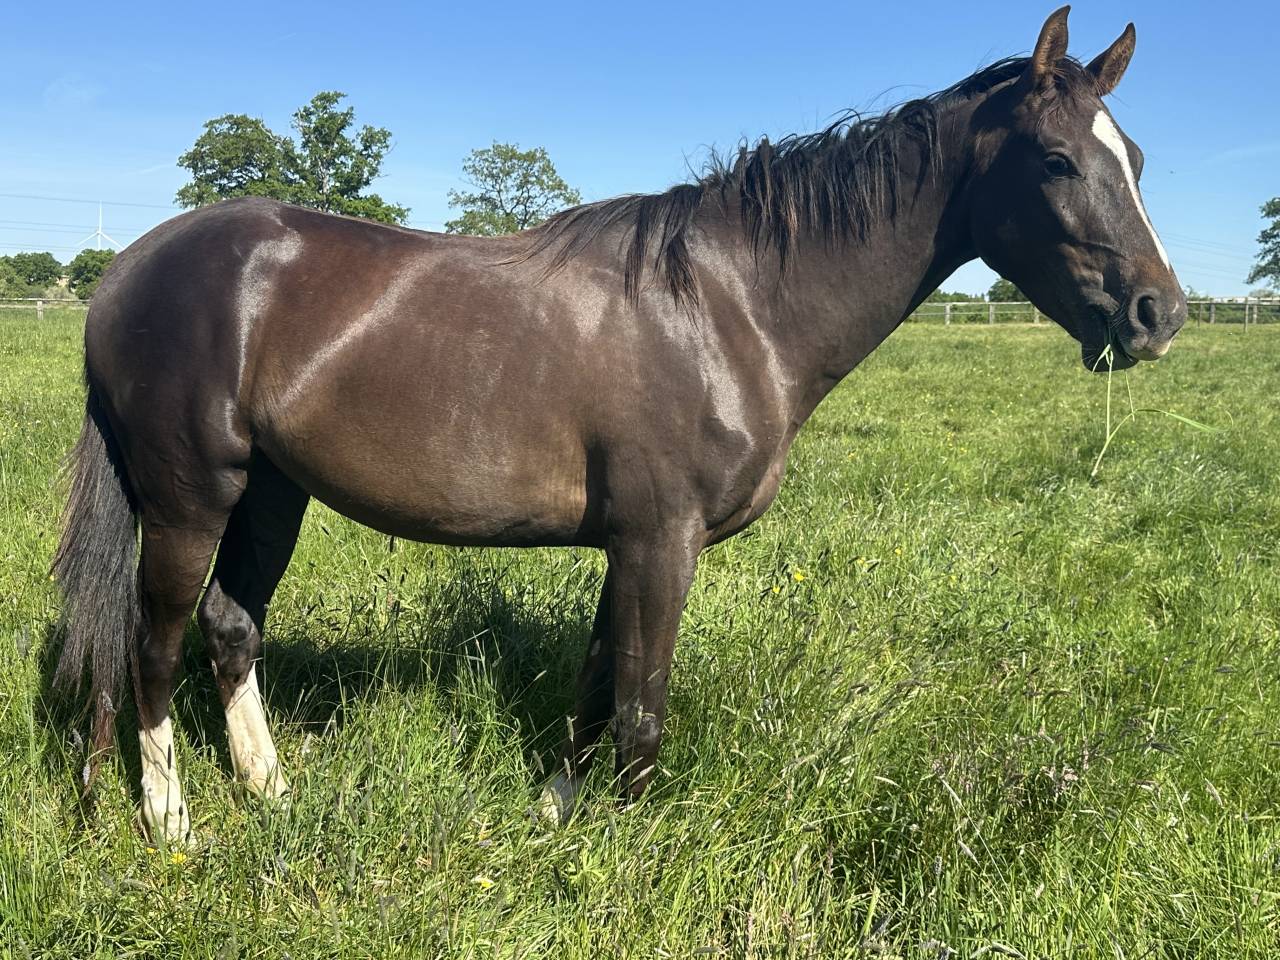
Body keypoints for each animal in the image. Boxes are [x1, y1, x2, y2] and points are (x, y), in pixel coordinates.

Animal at [52, 6, 1185, 842]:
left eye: (1132, 154)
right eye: (1054, 159)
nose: (1158, 314)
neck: (734, 306)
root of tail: (125, 270)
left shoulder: (628, 544)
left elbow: (598, 686)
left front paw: (557, 816)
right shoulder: (660, 540)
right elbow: (642, 708)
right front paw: (627, 861)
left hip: (272, 492)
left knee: (229, 627)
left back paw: (272, 793)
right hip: (191, 497)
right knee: (152, 643)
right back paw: (170, 820)